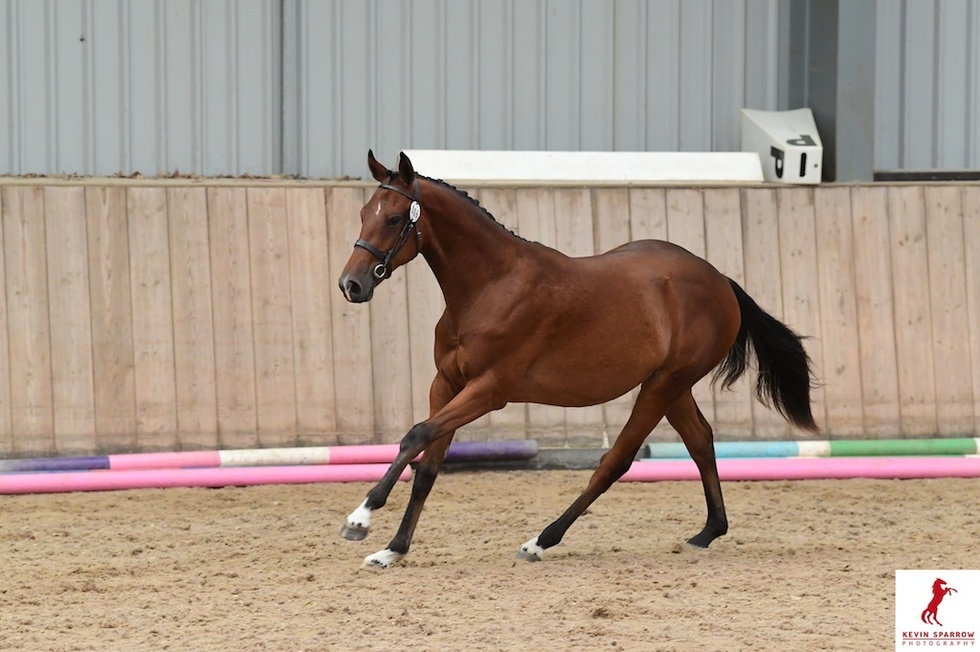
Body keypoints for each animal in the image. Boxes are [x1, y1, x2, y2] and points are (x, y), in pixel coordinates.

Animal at [337, 150, 817, 569]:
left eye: (394, 218)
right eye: (362, 214)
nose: (351, 285)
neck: (489, 287)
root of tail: (720, 280)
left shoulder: (489, 390)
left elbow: (415, 435)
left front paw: (360, 518)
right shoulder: (446, 384)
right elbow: (428, 465)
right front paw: (392, 550)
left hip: (664, 385)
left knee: (615, 461)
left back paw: (540, 541)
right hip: (671, 386)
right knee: (700, 440)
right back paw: (708, 532)